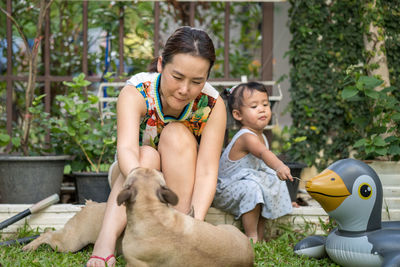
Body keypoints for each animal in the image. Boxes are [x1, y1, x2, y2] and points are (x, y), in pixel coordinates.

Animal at [22, 169, 253, 266]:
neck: (152, 212)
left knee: (48, 233)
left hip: (70, 242)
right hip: (71, 242)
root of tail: (92, 205)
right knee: (47, 234)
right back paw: (29, 247)